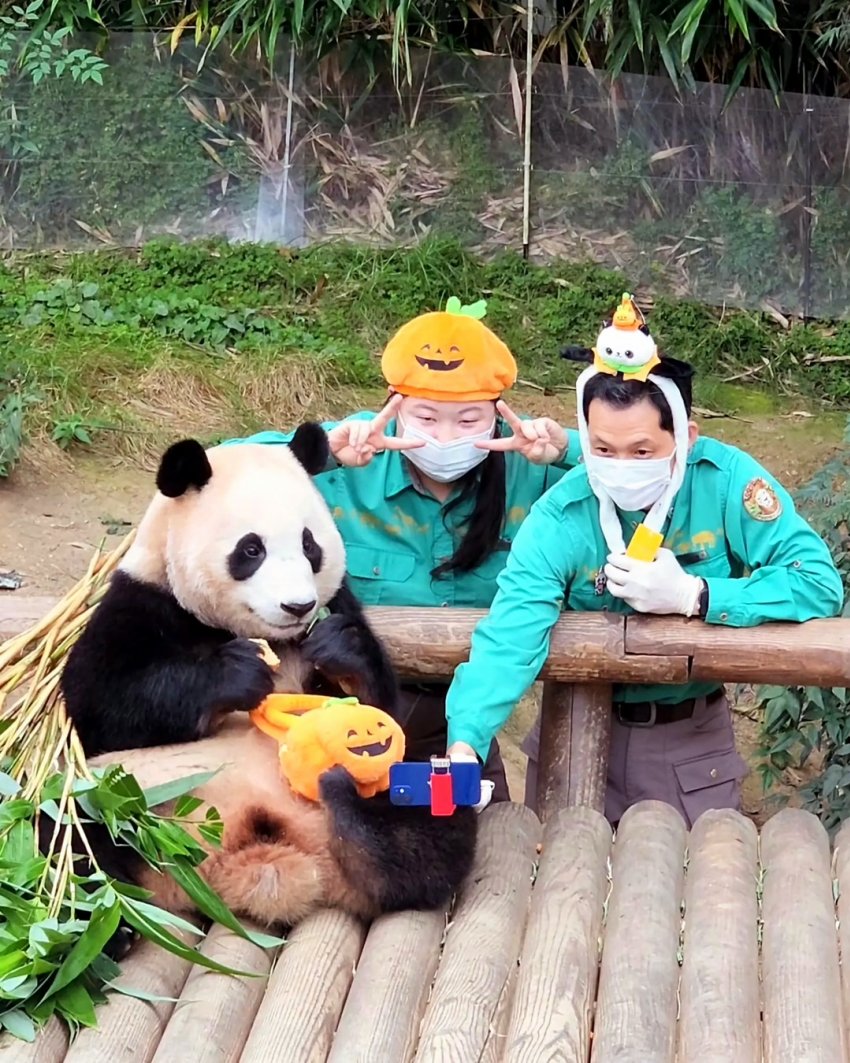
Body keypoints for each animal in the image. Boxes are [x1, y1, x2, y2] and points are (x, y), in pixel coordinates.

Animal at [59, 427, 478, 935]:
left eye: (310, 545)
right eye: (251, 549)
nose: (298, 606)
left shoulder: (337, 603)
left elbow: (382, 705)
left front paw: (340, 651)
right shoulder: (142, 601)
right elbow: (99, 702)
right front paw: (238, 673)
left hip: (397, 783)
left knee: (432, 819)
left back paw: (356, 820)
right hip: (116, 794)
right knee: (71, 838)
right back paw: (107, 927)